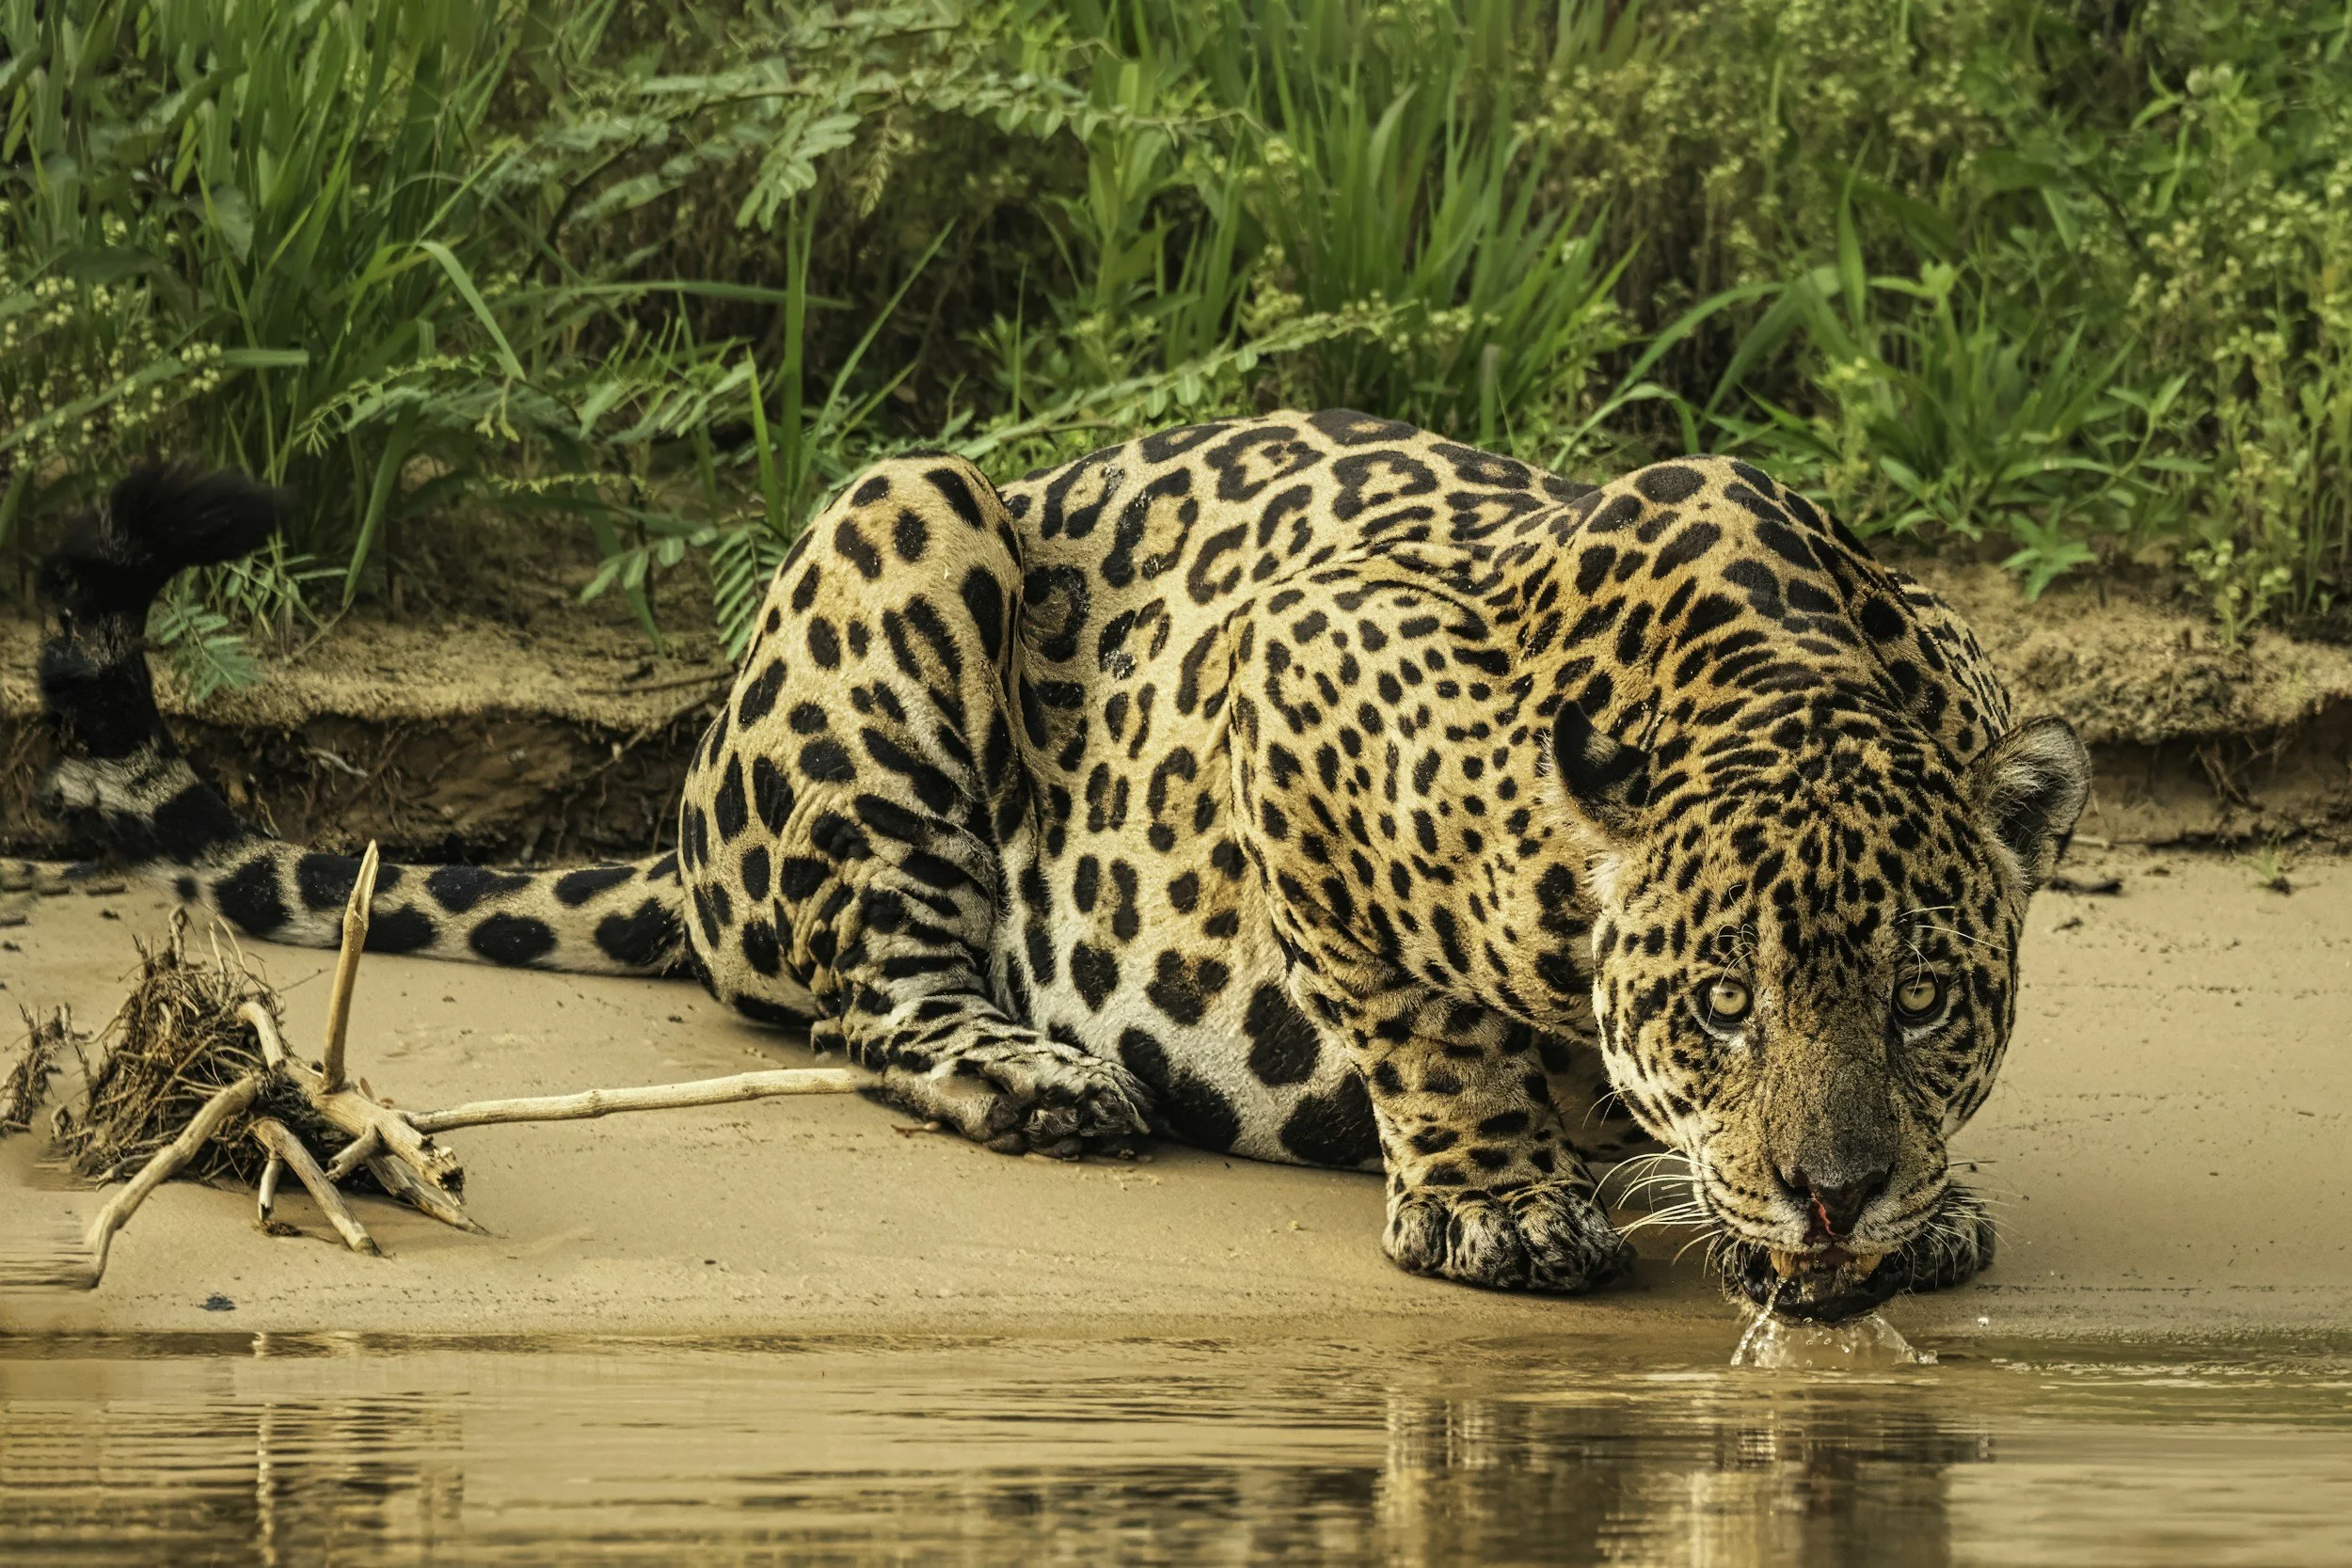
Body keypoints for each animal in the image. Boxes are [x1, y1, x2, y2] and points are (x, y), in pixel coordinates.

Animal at [35, 411, 2090, 1321]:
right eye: (1718, 1003)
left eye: (1925, 998)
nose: (1831, 1192)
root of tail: (688, 823)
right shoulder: (1301, 662)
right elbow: (1416, 1013)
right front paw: (1499, 1200)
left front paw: (1920, 1203)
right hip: (907, 521)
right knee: (870, 996)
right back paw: (1042, 1077)